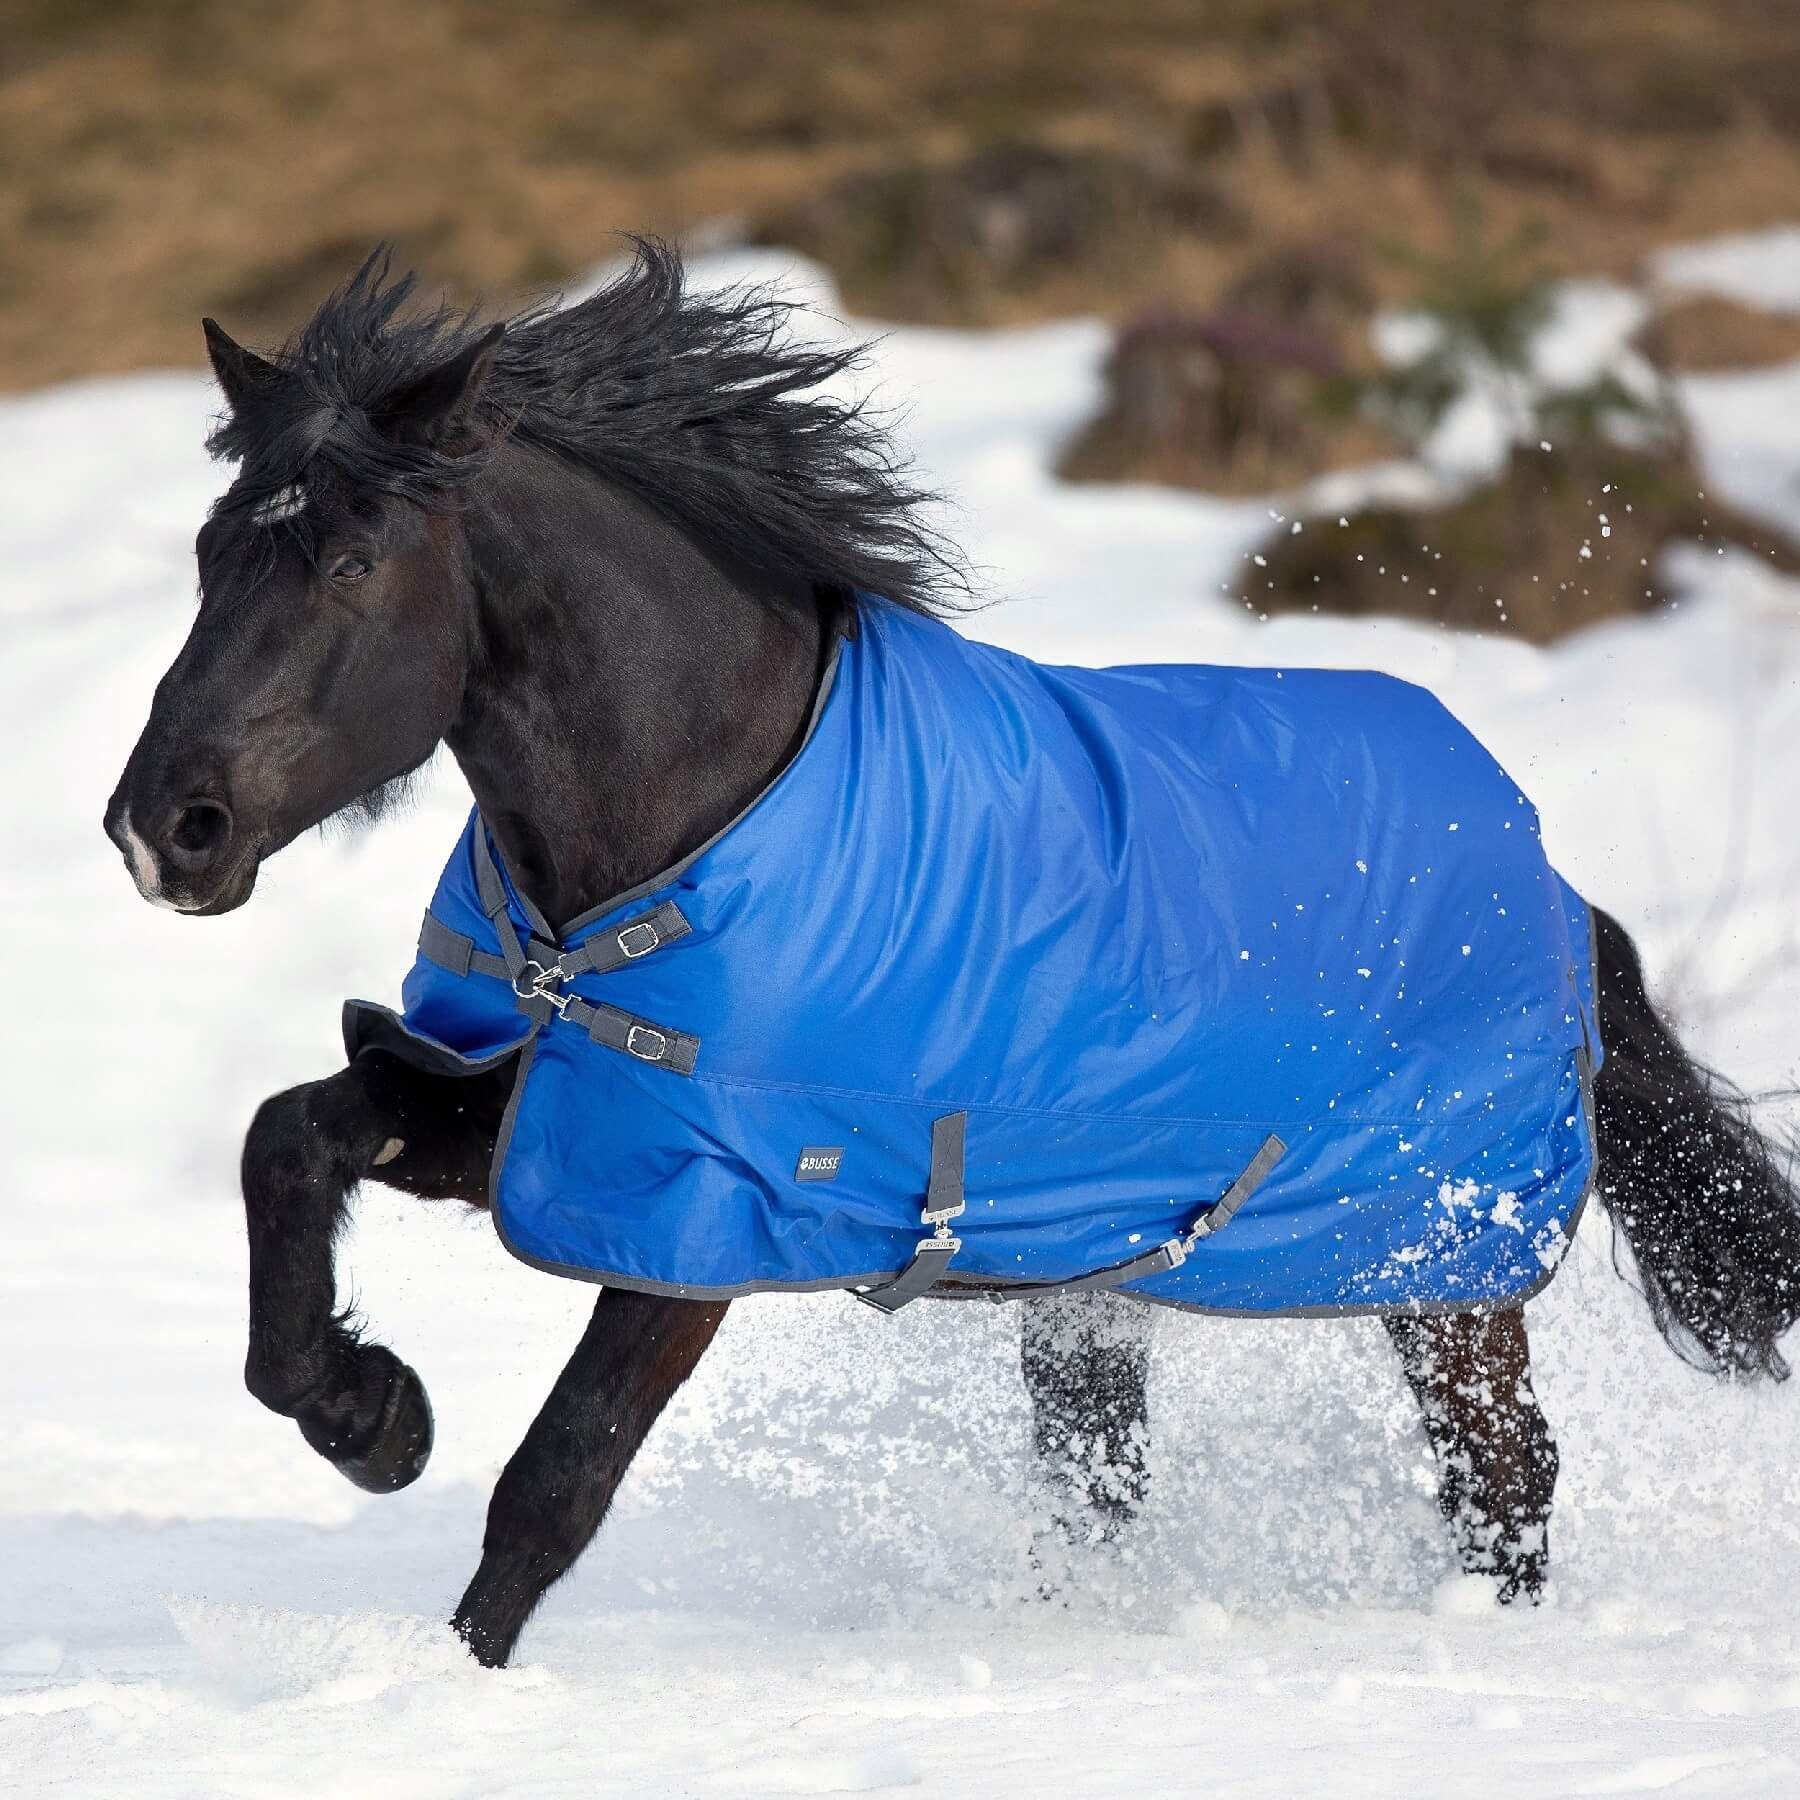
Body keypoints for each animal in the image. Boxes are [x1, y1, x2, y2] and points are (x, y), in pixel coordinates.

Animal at [105, 241, 1800, 1669]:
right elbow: (289, 1141)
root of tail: (1558, 890)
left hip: (1439, 1268)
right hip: (1097, 1277)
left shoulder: (708, 1211)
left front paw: (452, 1668)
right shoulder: (537, 1116)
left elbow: (556, 1477)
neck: (691, 826)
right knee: (1107, 1480)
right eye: (206, 551)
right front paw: (369, 1414)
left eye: (350, 564)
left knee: (1502, 1475)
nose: (162, 829)